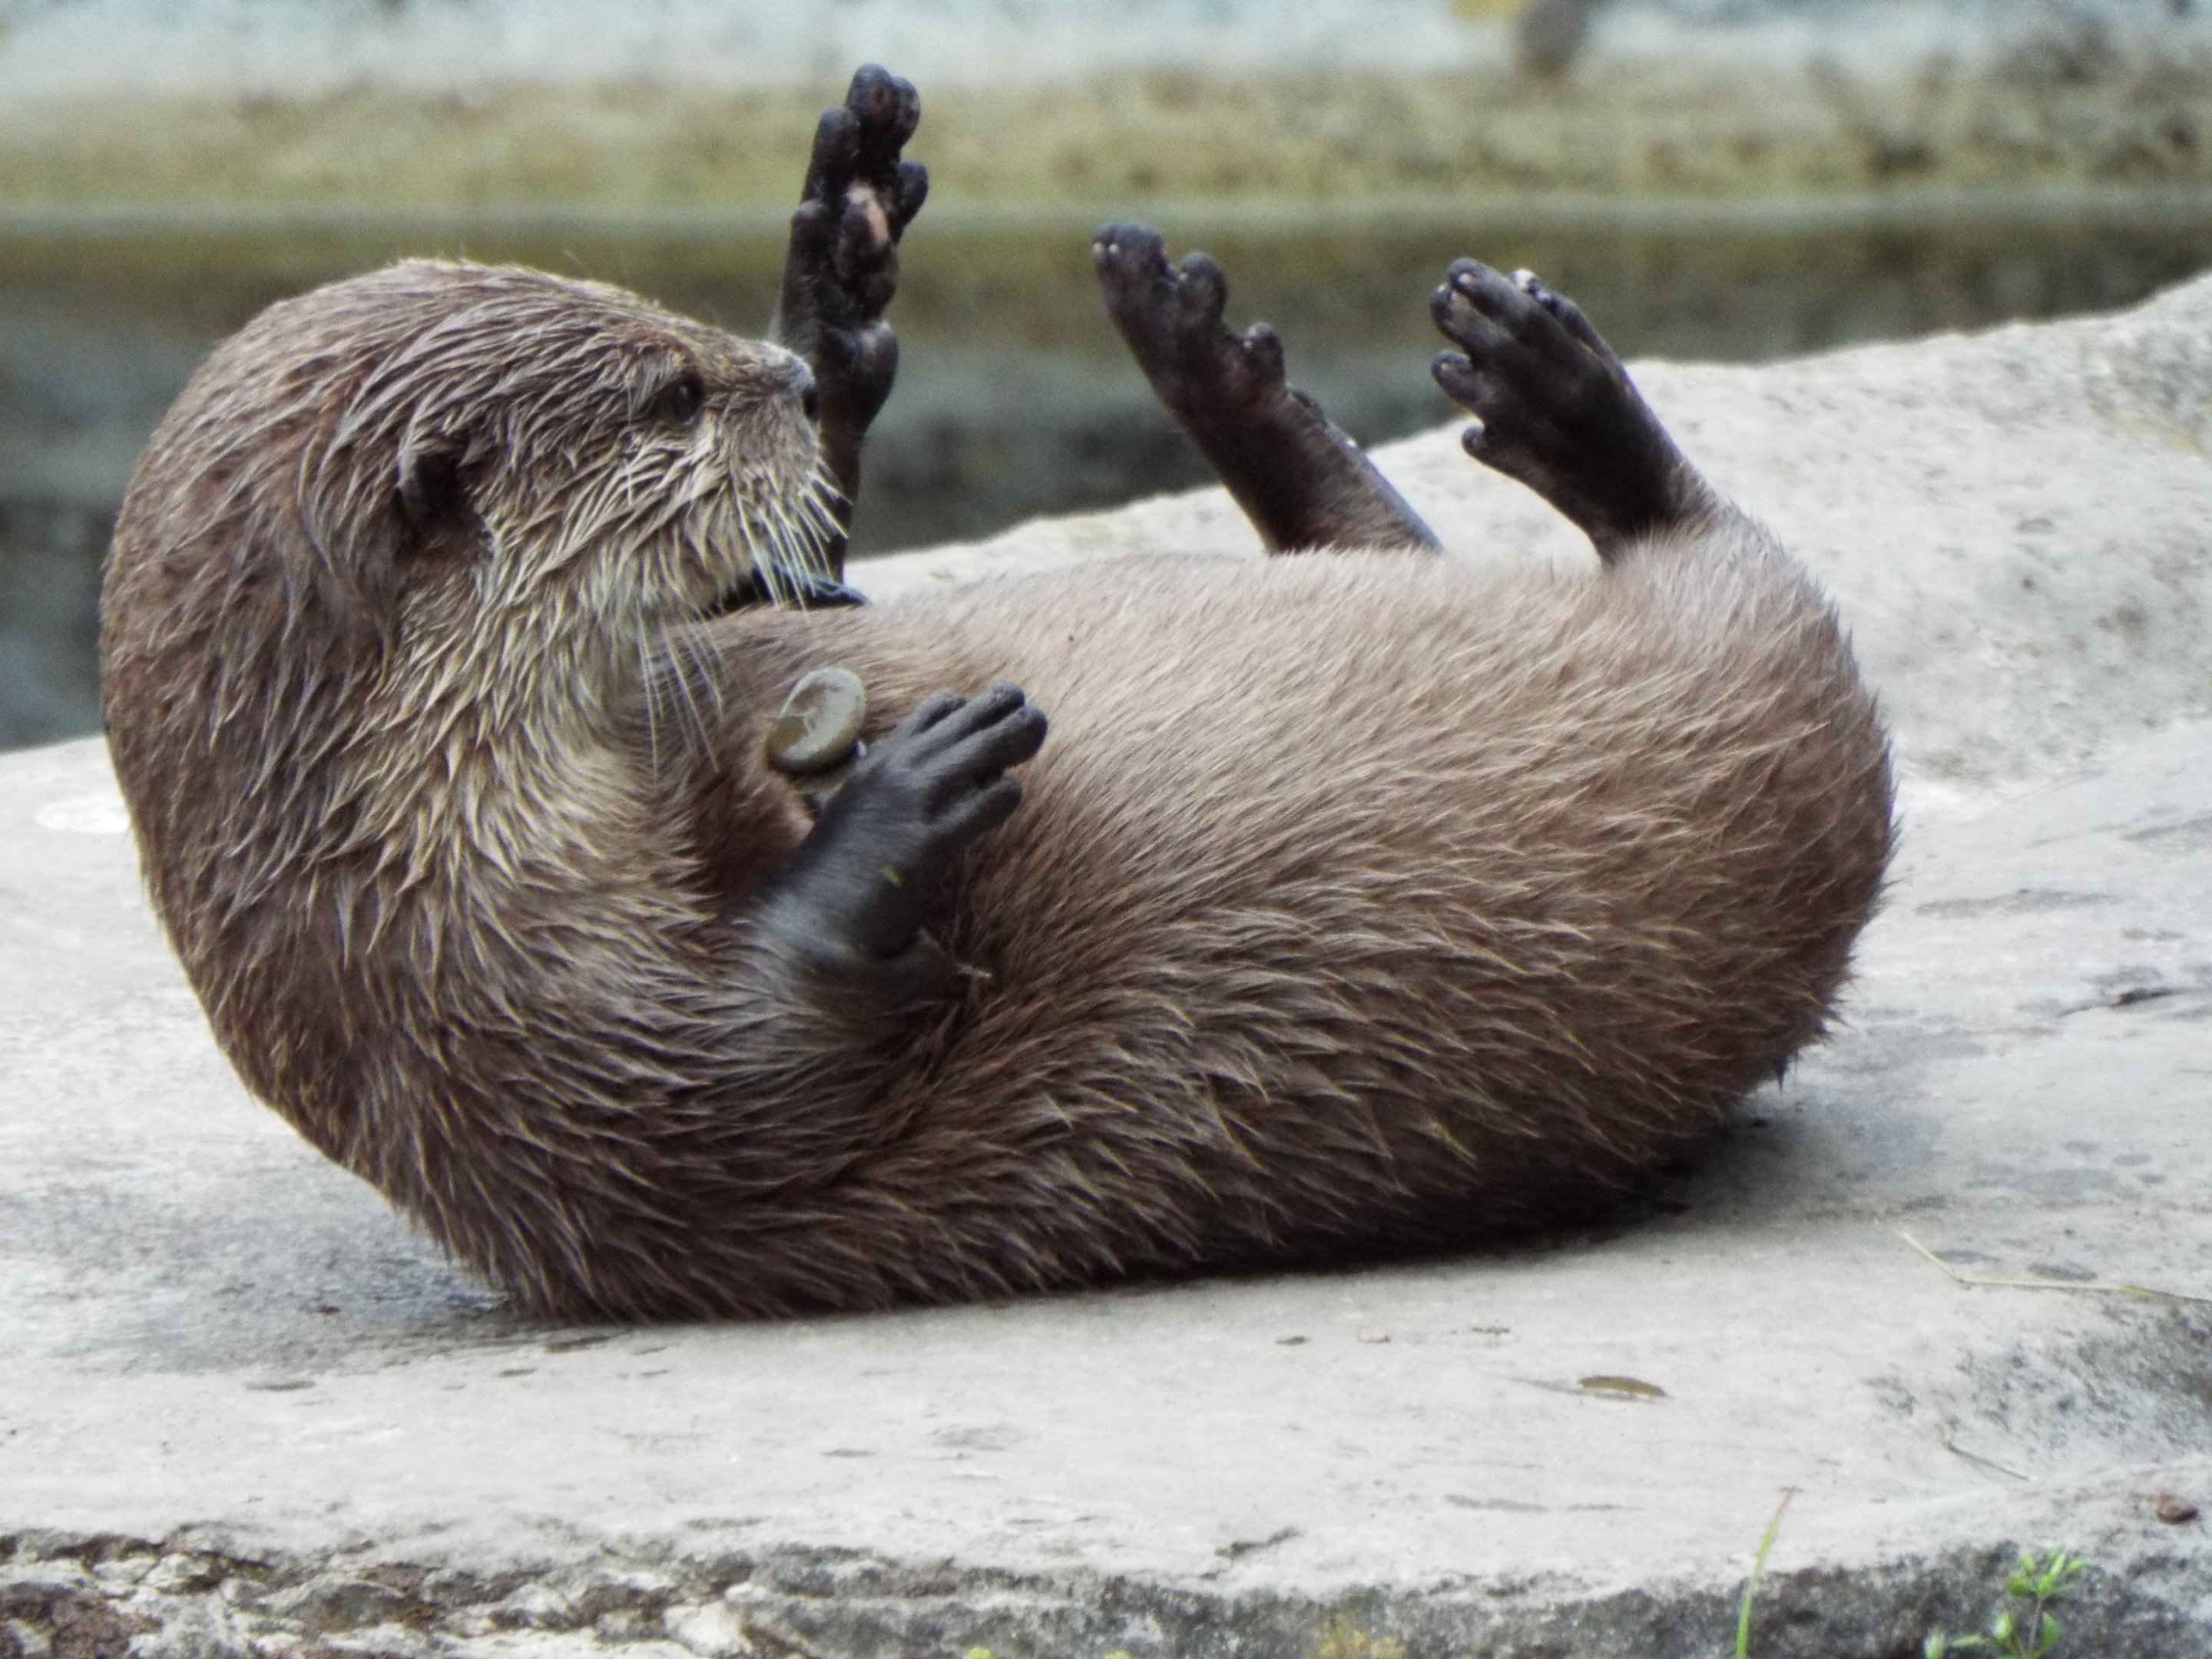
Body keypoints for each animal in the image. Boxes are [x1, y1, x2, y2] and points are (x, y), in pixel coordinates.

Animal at [101, 68, 1892, 1319]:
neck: (400, 842)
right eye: (669, 396)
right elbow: (744, 1080)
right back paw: (1563, 408)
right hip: (1773, 710)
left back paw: (1228, 349)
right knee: (1718, 552)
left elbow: (797, 590)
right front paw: (909, 796)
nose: (783, 378)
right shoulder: (494, 1030)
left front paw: (837, 281)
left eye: (662, 325)